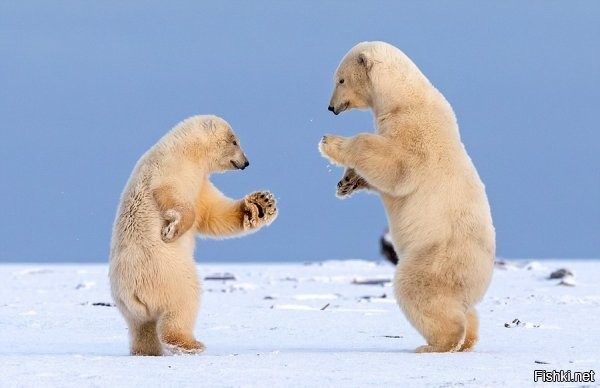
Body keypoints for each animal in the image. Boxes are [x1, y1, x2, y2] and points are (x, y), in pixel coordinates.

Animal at [109, 114, 278, 354]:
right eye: (235, 141)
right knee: (184, 302)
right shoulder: (169, 168)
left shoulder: (200, 183)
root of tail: (131, 292)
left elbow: (211, 213)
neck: (186, 151)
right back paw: (190, 344)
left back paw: (147, 351)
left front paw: (261, 204)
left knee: (142, 328)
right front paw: (171, 231)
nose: (246, 162)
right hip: (167, 275)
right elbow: (173, 196)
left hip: (129, 309)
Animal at [322, 41, 494, 354]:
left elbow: (394, 165)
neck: (404, 98)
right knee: (465, 308)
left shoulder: (415, 133)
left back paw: (436, 345)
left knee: (416, 288)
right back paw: (467, 340)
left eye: (339, 79)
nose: (331, 107)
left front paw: (330, 142)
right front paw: (345, 183)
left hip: (437, 256)